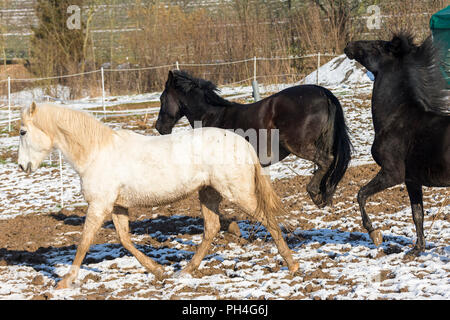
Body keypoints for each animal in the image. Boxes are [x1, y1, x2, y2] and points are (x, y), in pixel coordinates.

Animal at [17, 103, 298, 290]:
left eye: (22, 132)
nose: (22, 166)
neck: (96, 152)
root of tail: (244, 144)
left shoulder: (99, 205)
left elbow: (84, 242)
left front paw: (64, 282)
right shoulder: (117, 206)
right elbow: (125, 239)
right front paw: (159, 271)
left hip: (236, 191)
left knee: (267, 219)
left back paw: (292, 265)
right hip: (209, 193)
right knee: (212, 228)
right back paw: (184, 271)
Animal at [156, 69, 354, 208]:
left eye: (162, 98)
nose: (159, 127)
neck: (212, 115)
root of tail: (324, 93)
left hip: (298, 145)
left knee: (326, 161)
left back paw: (314, 194)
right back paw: (326, 194)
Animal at [346, 31, 448, 254]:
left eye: (377, 46)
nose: (349, 45)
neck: (396, 118)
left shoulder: (393, 173)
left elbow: (361, 194)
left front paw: (374, 233)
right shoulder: (412, 180)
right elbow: (417, 214)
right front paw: (417, 249)